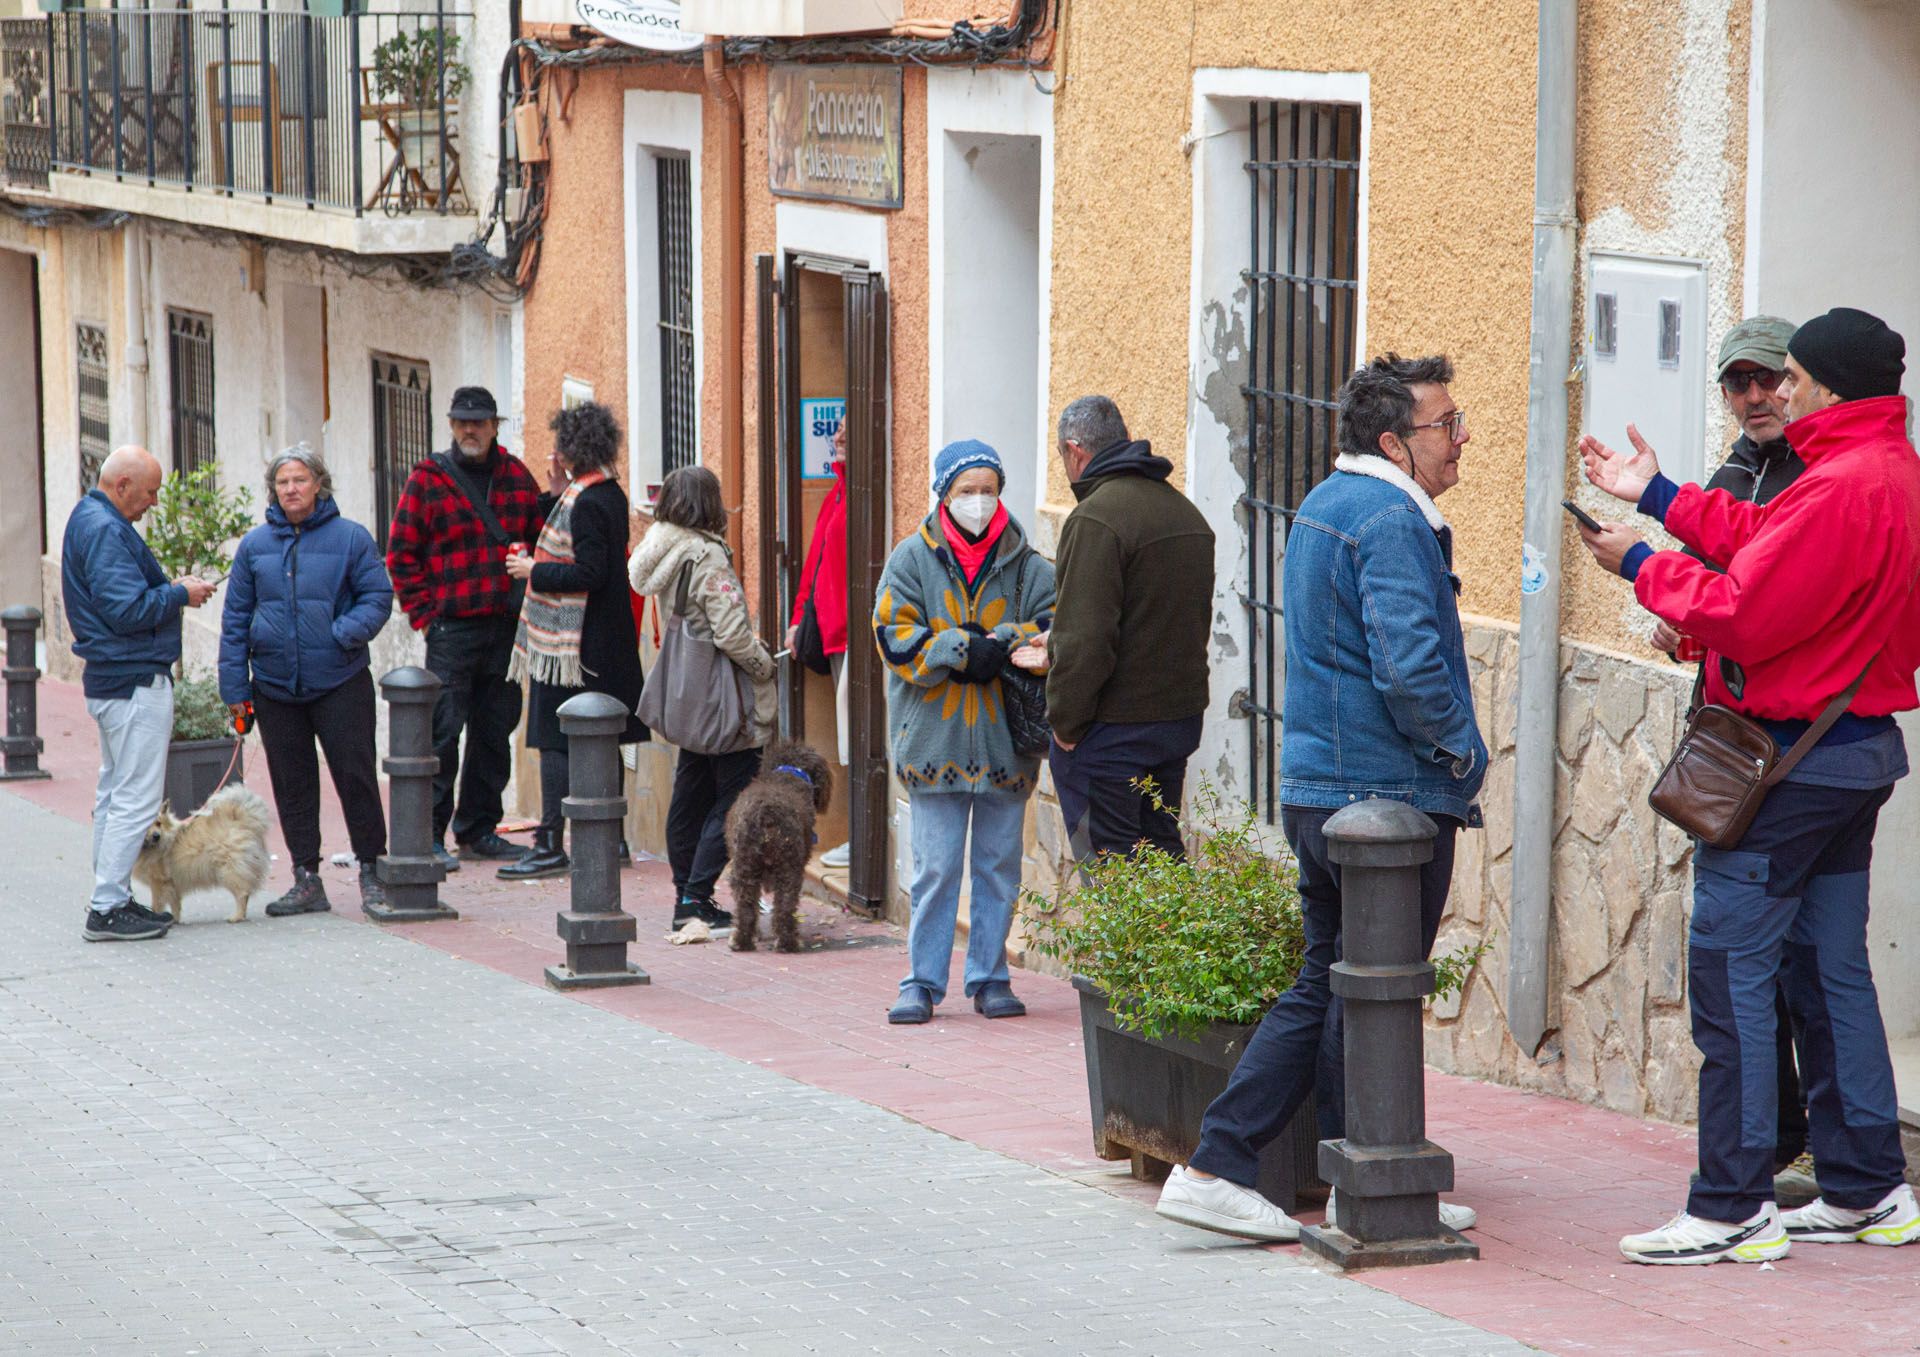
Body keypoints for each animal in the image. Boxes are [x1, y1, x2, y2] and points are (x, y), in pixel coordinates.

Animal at [131, 786, 272, 925]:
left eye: (158, 823)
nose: (156, 836)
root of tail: (240, 819)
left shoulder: (158, 883)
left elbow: (157, 905)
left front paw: (156, 915)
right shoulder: (173, 885)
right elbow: (175, 905)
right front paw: (174, 920)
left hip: (228, 870)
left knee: (242, 893)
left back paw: (237, 916)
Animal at [725, 744, 833, 955]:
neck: (789, 773)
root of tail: (767, 813)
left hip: (745, 867)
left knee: (746, 908)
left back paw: (742, 941)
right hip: (788, 868)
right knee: (783, 907)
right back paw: (787, 942)